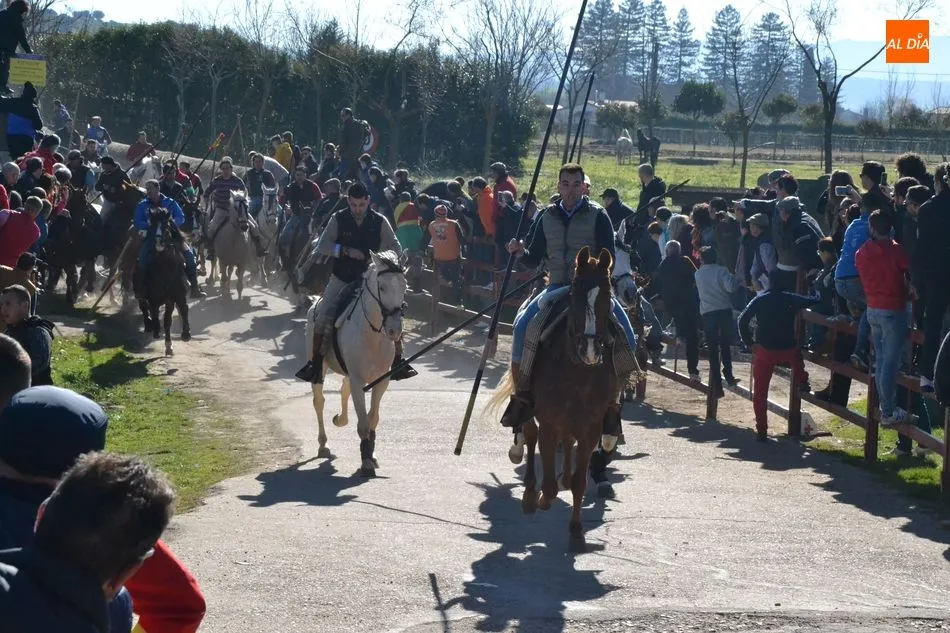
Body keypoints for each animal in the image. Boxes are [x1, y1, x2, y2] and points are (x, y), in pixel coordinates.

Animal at [134, 209, 191, 356]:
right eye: (153, 225)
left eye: (166, 225)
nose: (159, 240)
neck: (166, 268)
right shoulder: (154, 299)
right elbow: (154, 313)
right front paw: (156, 330)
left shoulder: (176, 297)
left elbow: (179, 312)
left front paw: (183, 336)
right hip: (140, 294)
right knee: (144, 308)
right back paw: (149, 326)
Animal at [305, 250, 407, 477]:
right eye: (382, 287)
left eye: (404, 286)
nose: (395, 329)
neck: (372, 335)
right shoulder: (358, 380)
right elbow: (363, 422)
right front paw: (366, 461)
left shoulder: (381, 381)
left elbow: (373, 418)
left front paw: (372, 455)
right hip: (320, 367)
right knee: (319, 401)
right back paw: (323, 445)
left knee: (343, 389)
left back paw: (340, 419)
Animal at [488, 246, 620, 549]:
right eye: (576, 293)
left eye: (607, 296)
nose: (590, 349)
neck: (578, 371)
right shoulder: (550, 422)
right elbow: (547, 482)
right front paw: (541, 498)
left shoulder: (590, 428)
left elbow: (580, 481)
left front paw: (576, 531)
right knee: (529, 433)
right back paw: (529, 493)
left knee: (566, 446)